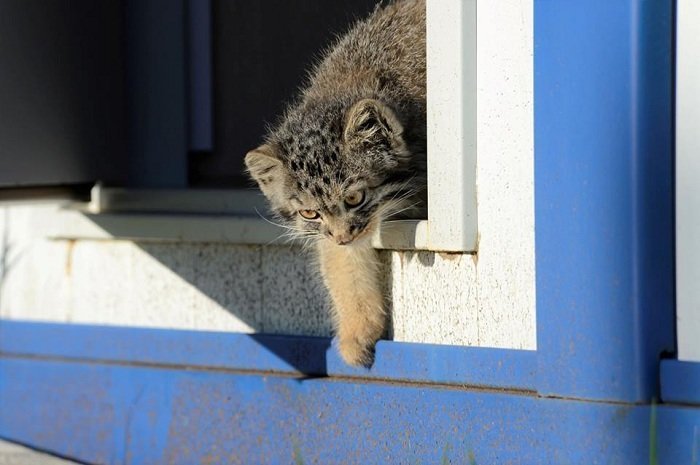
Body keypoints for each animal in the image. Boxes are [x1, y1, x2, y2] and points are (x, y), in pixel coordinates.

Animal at [246, 0, 426, 366]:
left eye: (355, 198)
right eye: (310, 214)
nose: (344, 236)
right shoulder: (331, 233)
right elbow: (340, 264)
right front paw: (357, 330)